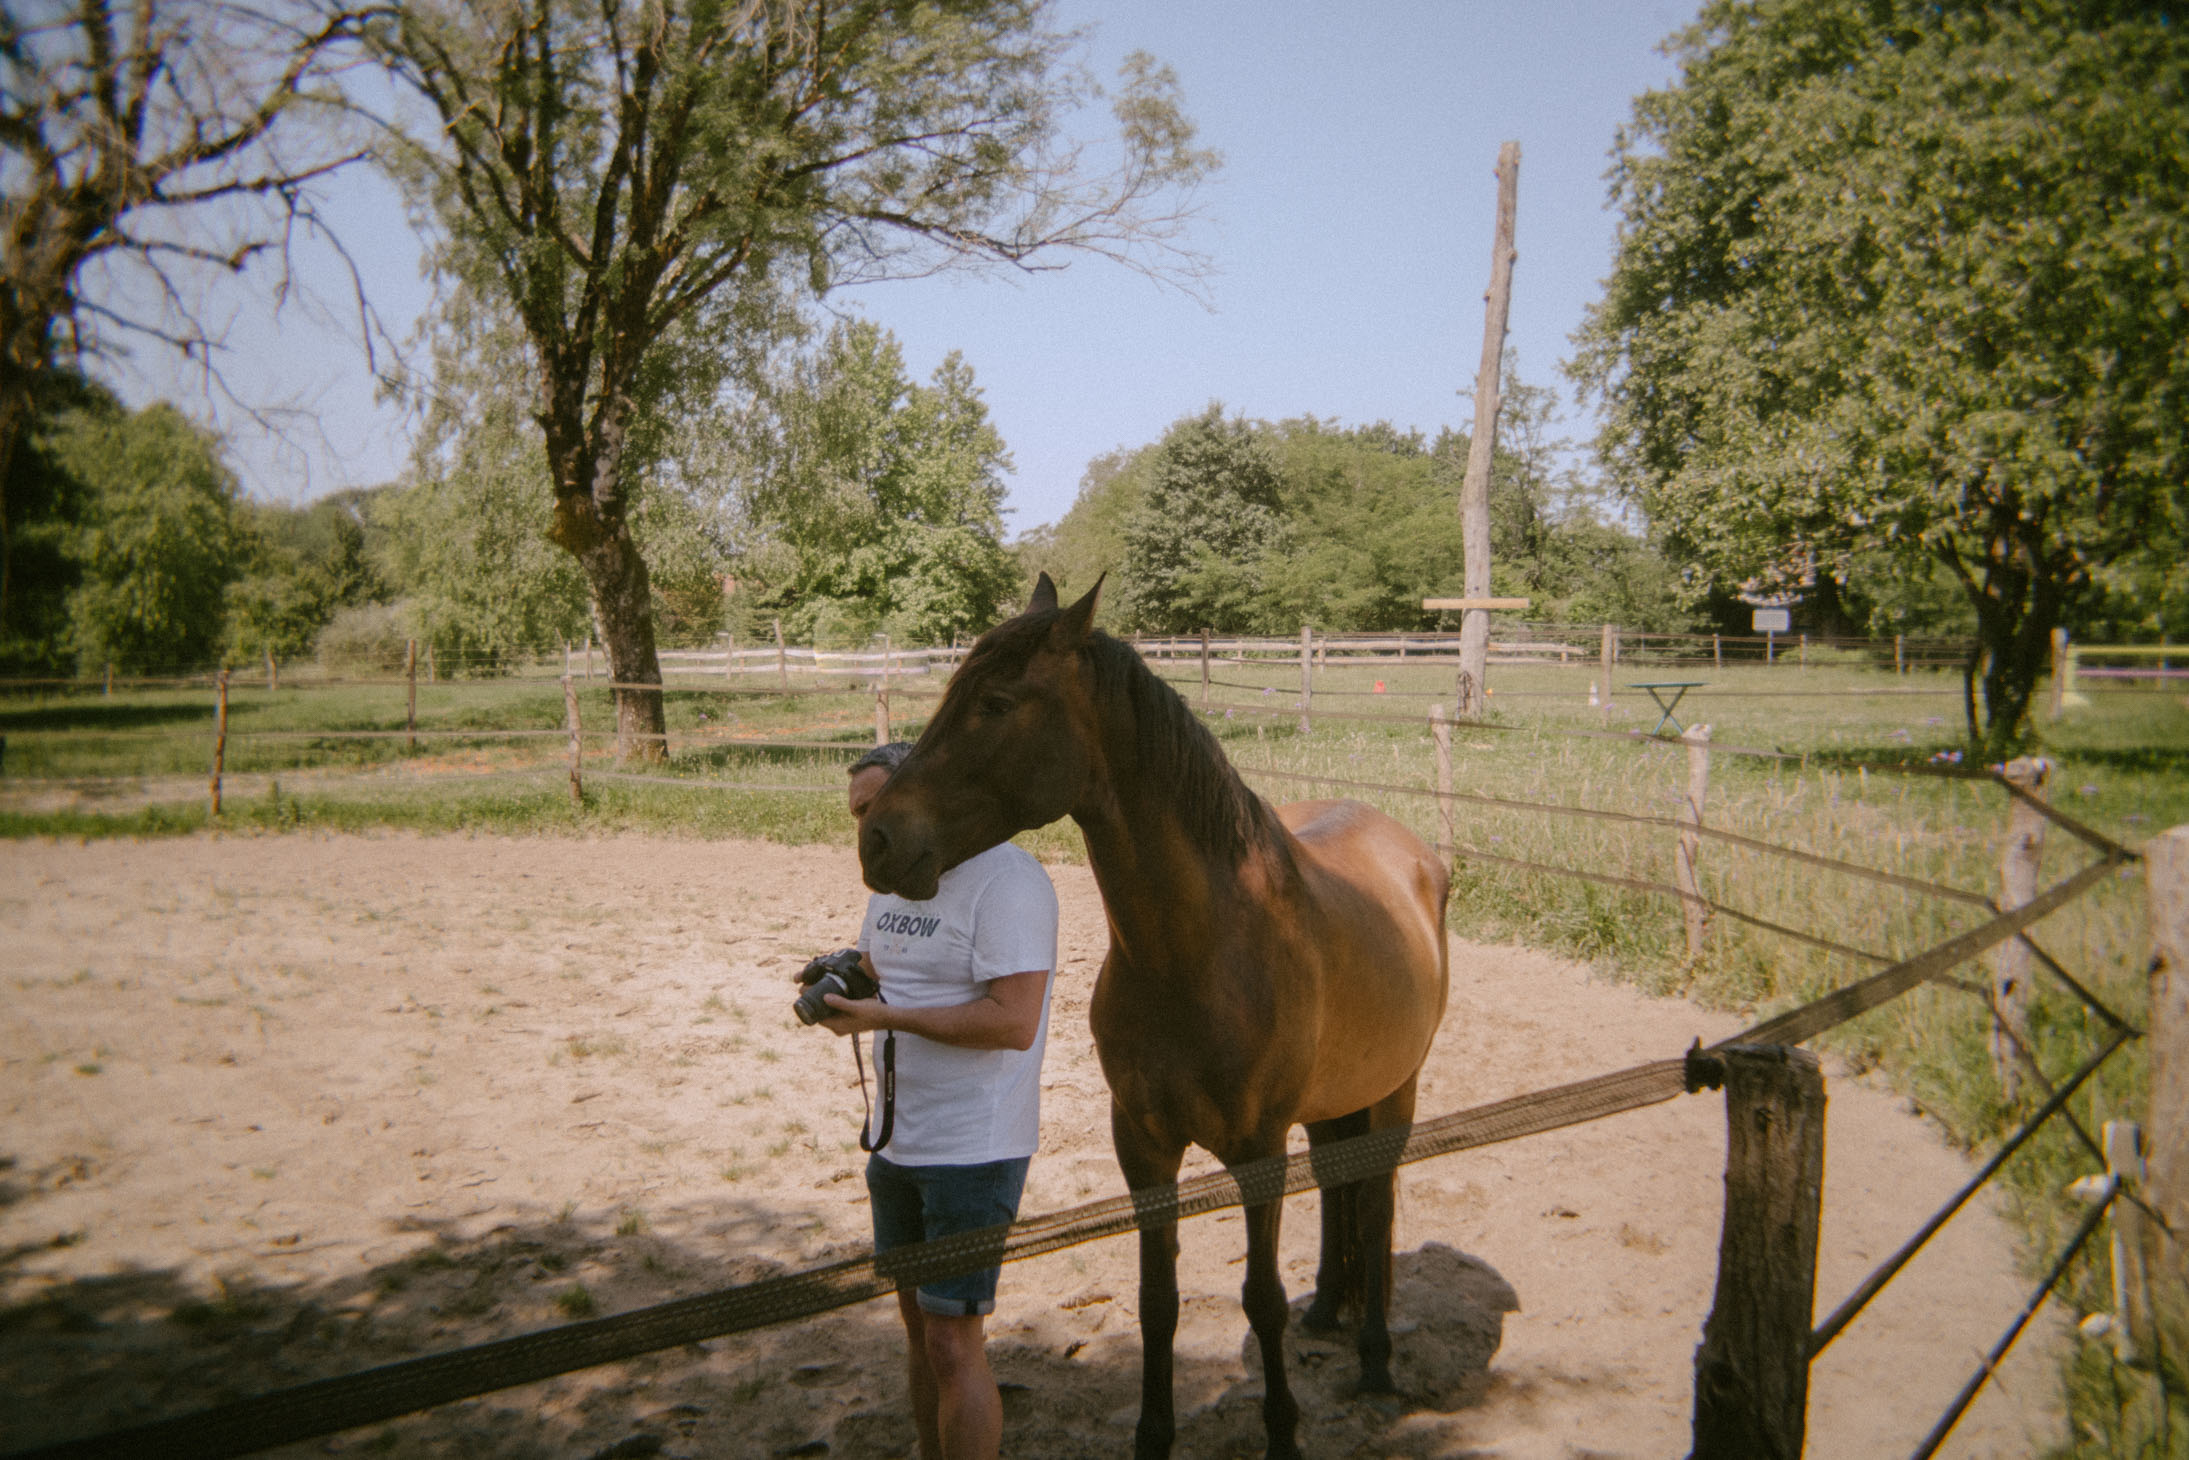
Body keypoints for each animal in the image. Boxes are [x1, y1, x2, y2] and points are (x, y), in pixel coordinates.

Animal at [858, 574, 1450, 1459]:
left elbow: (1258, 1297)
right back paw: (1327, 1310)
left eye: (995, 703)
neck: (1202, 952)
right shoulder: (1141, 1146)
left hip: (1393, 1094)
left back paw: (1376, 1361)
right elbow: (1155, 1300)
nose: (878, 839)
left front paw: (1282, 1433)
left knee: (1375, 1203)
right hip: (1332, 1105)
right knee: (1339, 1189)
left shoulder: (1258, 1152)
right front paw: (1151, 1433)